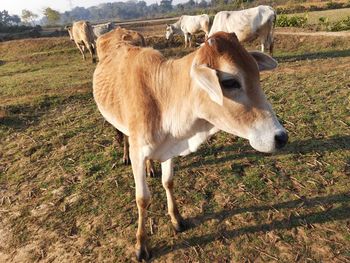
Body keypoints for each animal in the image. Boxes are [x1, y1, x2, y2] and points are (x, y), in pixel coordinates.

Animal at [93, 31, 288, 262]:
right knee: (122, 135)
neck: (162, 97)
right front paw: (141, 244)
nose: (281, 137)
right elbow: (142, 199)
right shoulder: (138, 152)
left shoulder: (169, 147)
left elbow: (168, 182)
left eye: (257, 74)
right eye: (230, 82)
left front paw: (176, 219)